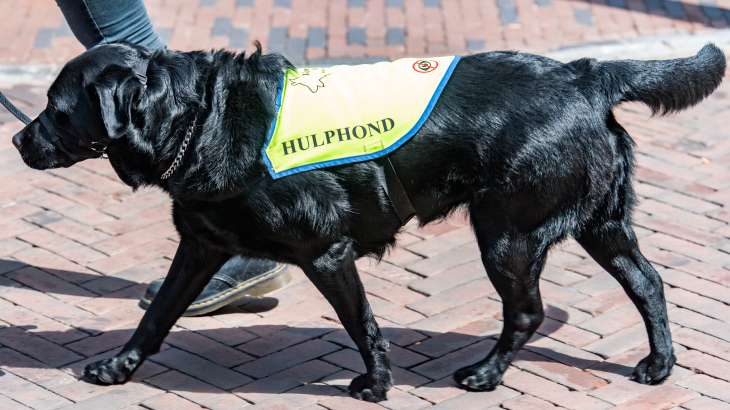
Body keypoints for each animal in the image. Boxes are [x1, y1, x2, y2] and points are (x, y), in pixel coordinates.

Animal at [9, 41, 724, 400]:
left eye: (56, 108)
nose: (17, 140)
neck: (202, 117)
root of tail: (584, 74)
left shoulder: (327, 252)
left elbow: (363, 325)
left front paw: (377, 383)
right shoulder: (201, 246)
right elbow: (156, 316)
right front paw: (118, 367)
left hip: (507, 233)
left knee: (527, 312)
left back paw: (486, 375)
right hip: (600, 223)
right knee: (649, 283)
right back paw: (659, 365)